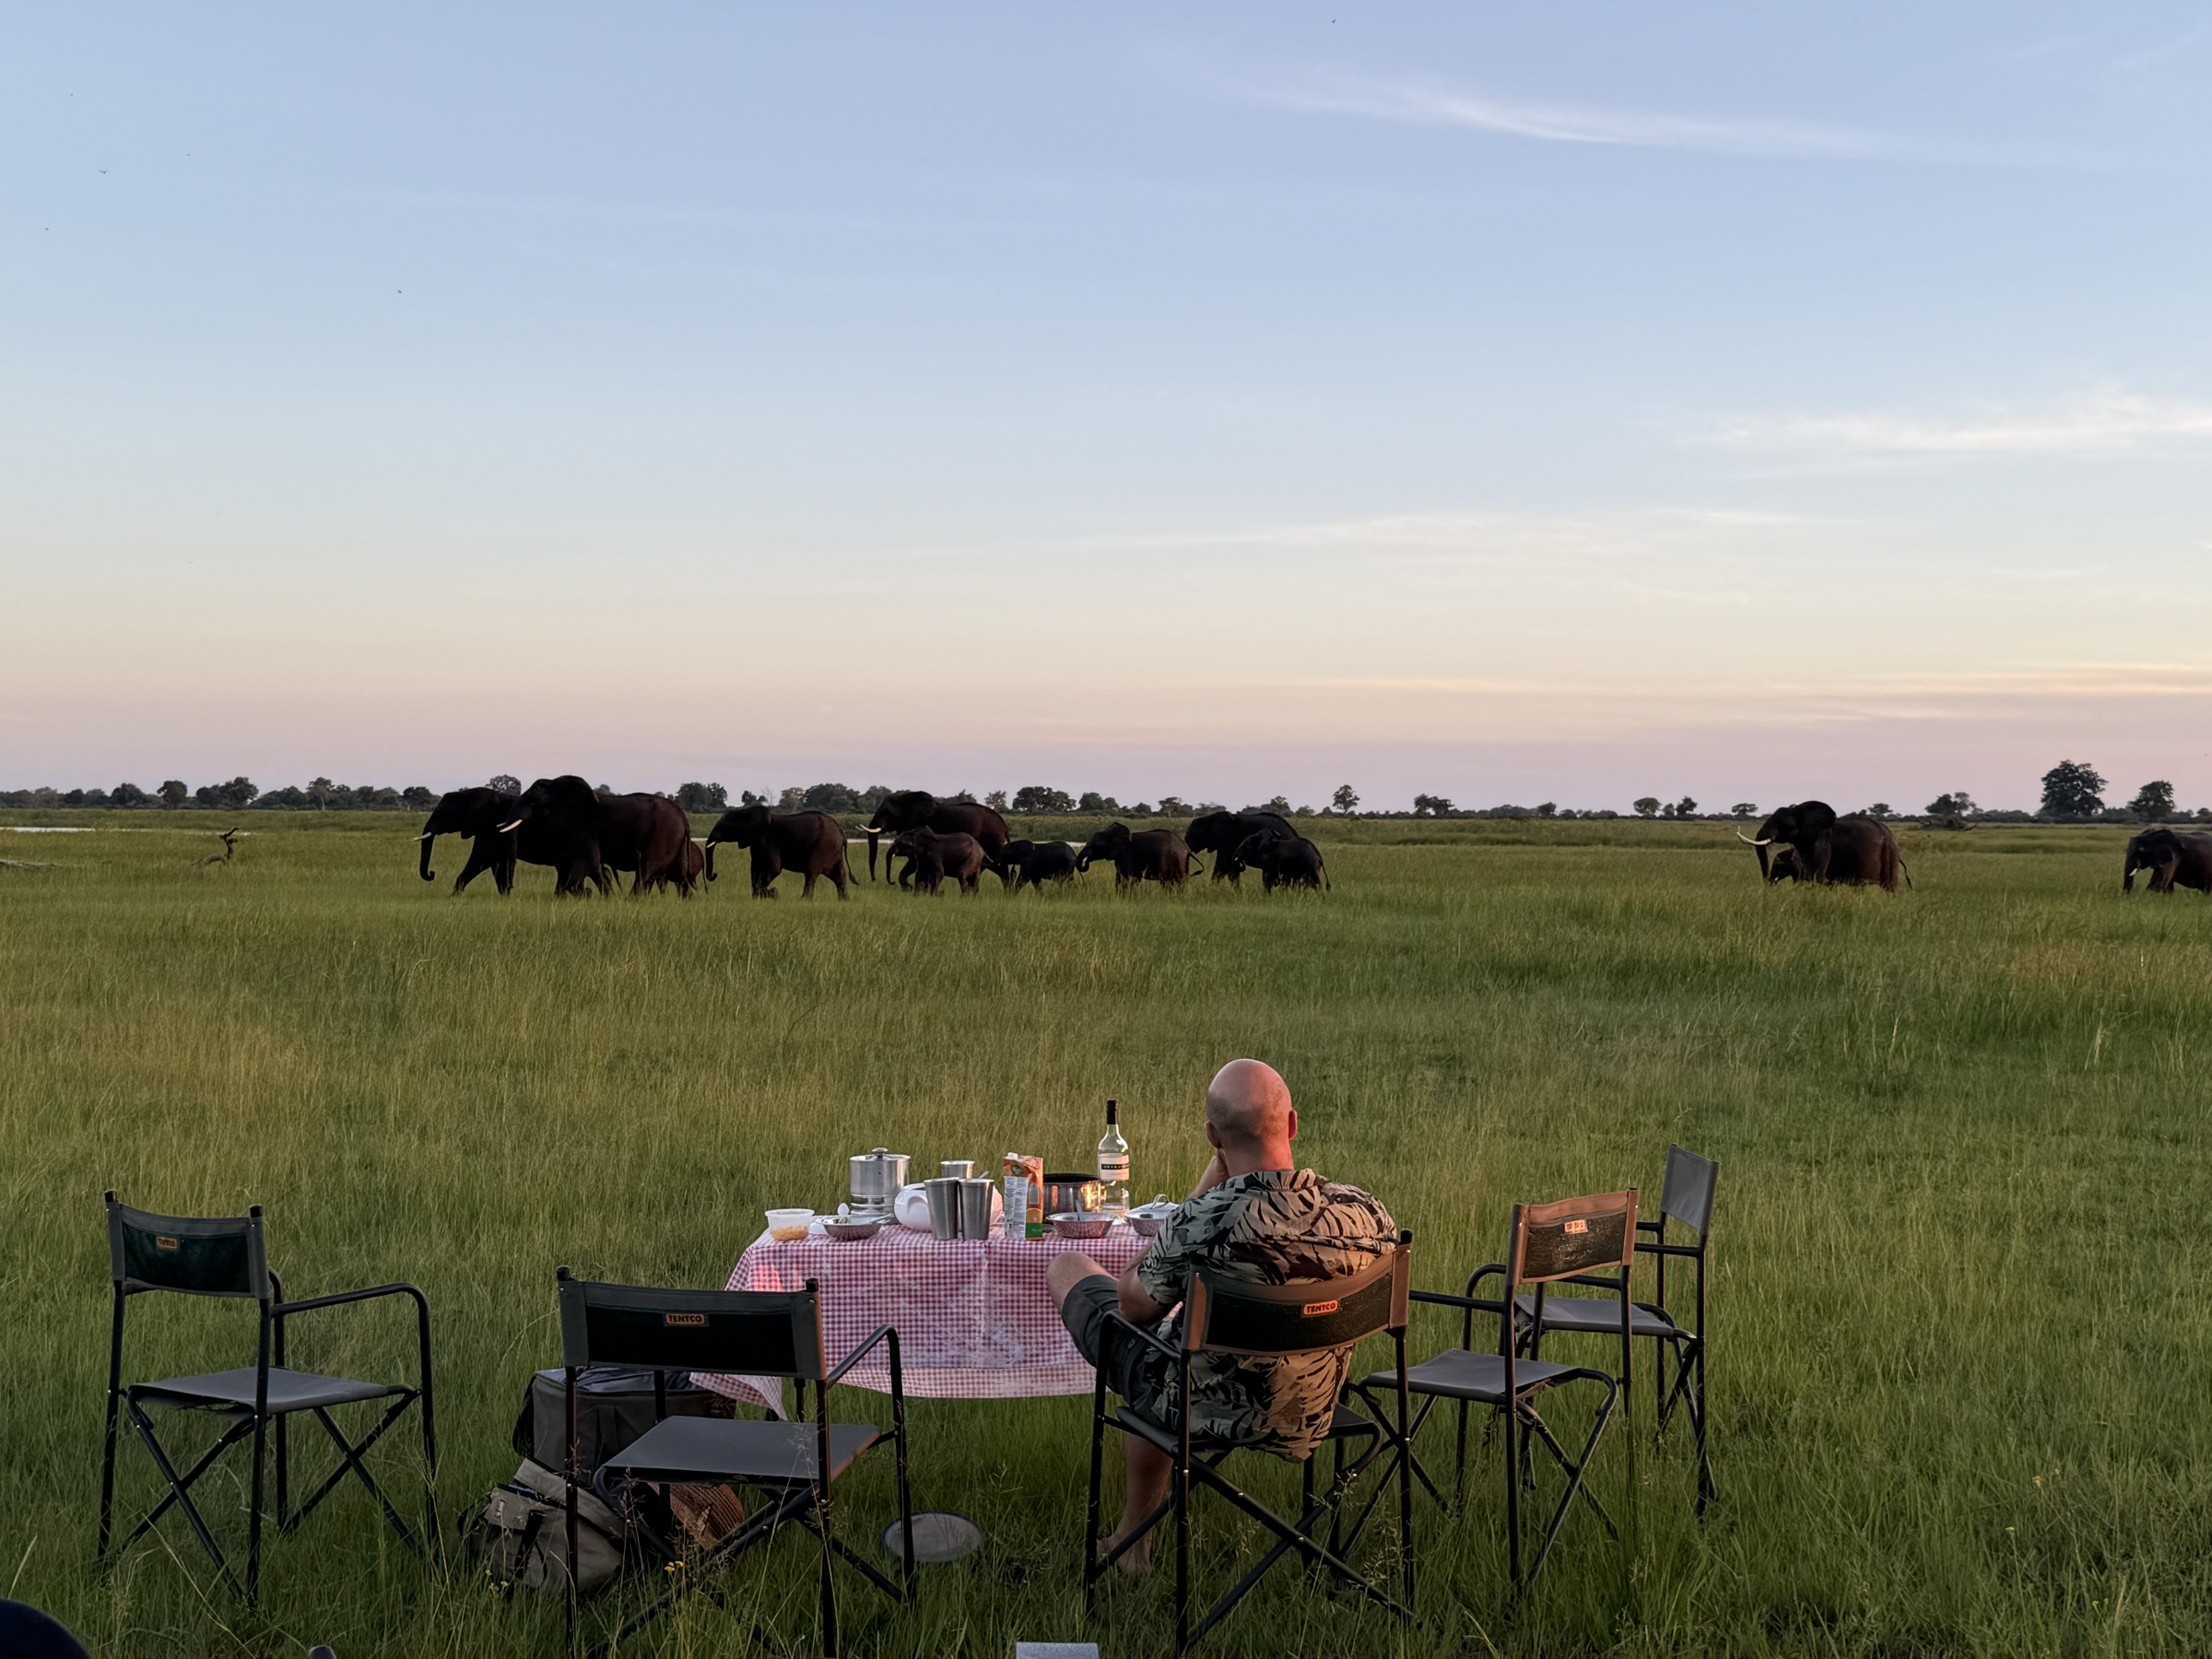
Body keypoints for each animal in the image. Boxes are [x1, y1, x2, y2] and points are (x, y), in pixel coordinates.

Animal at [703, 805, 852, 899]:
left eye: (724, 827)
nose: (715, 874)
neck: (747, 812)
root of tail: (842, 832)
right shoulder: (756, 843)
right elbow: (755, 869)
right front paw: (758, 897)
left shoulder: (768, 841)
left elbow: (773, 868)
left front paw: (773, 894)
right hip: (833, 850)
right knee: (839, 875)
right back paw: (844, 900)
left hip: (823, 847)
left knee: (811, 873)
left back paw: (804, 900)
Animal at [863, 791, 1011, 881]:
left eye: (888, 814)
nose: (874, 880)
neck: (905, 799)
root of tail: (1004, 826)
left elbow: (913, 861)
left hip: (992, 840)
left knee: (1001, 868)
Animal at [1737, 801, 1905, 891]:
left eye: (1782, 825)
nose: (1770, 885)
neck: (1799, 811)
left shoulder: (1822, 843)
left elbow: (1815, 876)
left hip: (1889, 853)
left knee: (1889, 887)